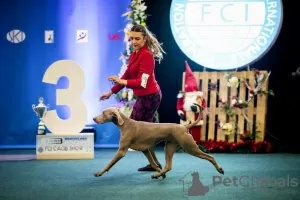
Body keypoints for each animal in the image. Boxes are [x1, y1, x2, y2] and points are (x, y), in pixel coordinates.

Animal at [92, 104, 224, 179]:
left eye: (103, 113)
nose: (93, 118)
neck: (126, 124)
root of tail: (184, 126)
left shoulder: (121, 151)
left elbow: (109, 163)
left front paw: (99, 173)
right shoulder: (145, 150)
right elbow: (154, 164)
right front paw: (160, 173)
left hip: (190, 148)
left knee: (210, 157)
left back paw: (220, 170)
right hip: (169, 147)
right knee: (168, 166)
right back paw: (158, 175)